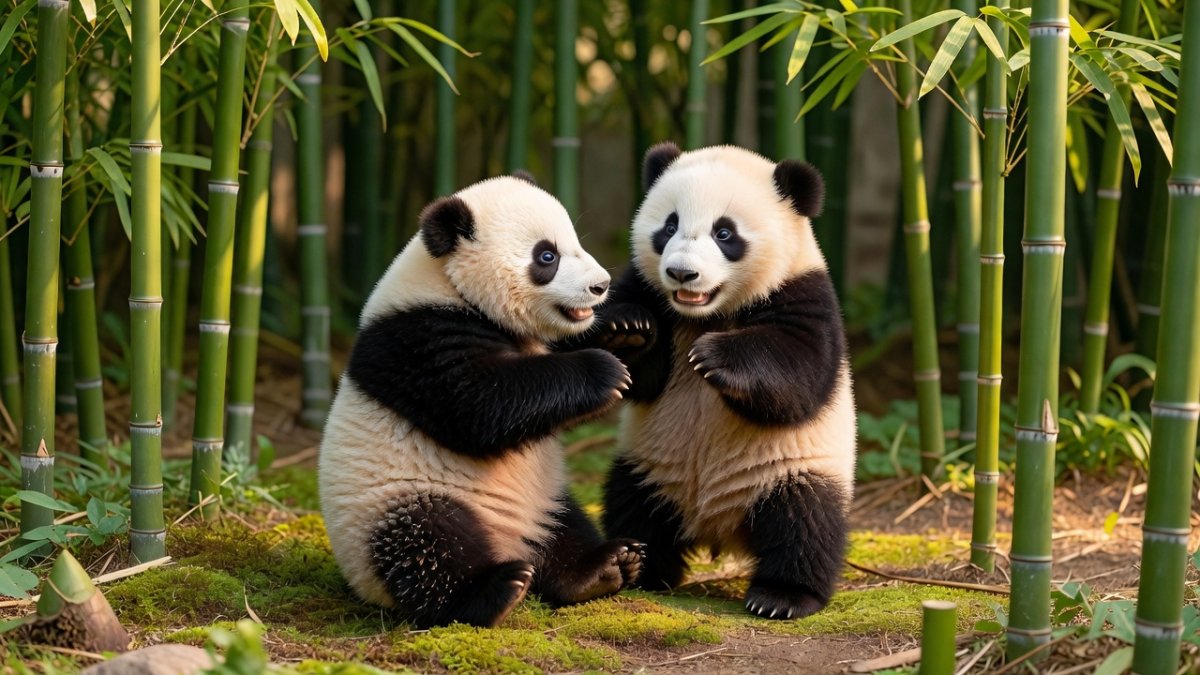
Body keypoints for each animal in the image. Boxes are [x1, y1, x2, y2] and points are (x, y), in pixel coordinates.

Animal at [319, 174, 645, 629]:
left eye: (576, 242)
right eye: (547, 256)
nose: (600, 286)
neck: (449, 285)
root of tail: (509, 542)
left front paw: (626, 330)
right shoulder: (419, 338)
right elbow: (479, 405)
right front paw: (603, 371)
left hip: (547, 494)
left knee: (566, 527)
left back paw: (604, 566)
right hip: (396, 502)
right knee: (426, 544)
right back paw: (494, 590)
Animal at [594, 143, 856, 620]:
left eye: (724, 233)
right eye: (670, 226)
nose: (681, 273)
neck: (706, 314)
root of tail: (718, 527)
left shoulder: (805, 292)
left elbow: (801, 375)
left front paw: (715, 358)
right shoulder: (644, 286)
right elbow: (642, 377)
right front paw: (628, 329)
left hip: (790, 469)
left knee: (805, 522)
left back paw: (781, 596)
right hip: (648, 466)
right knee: (632, 506)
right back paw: (633, 568)